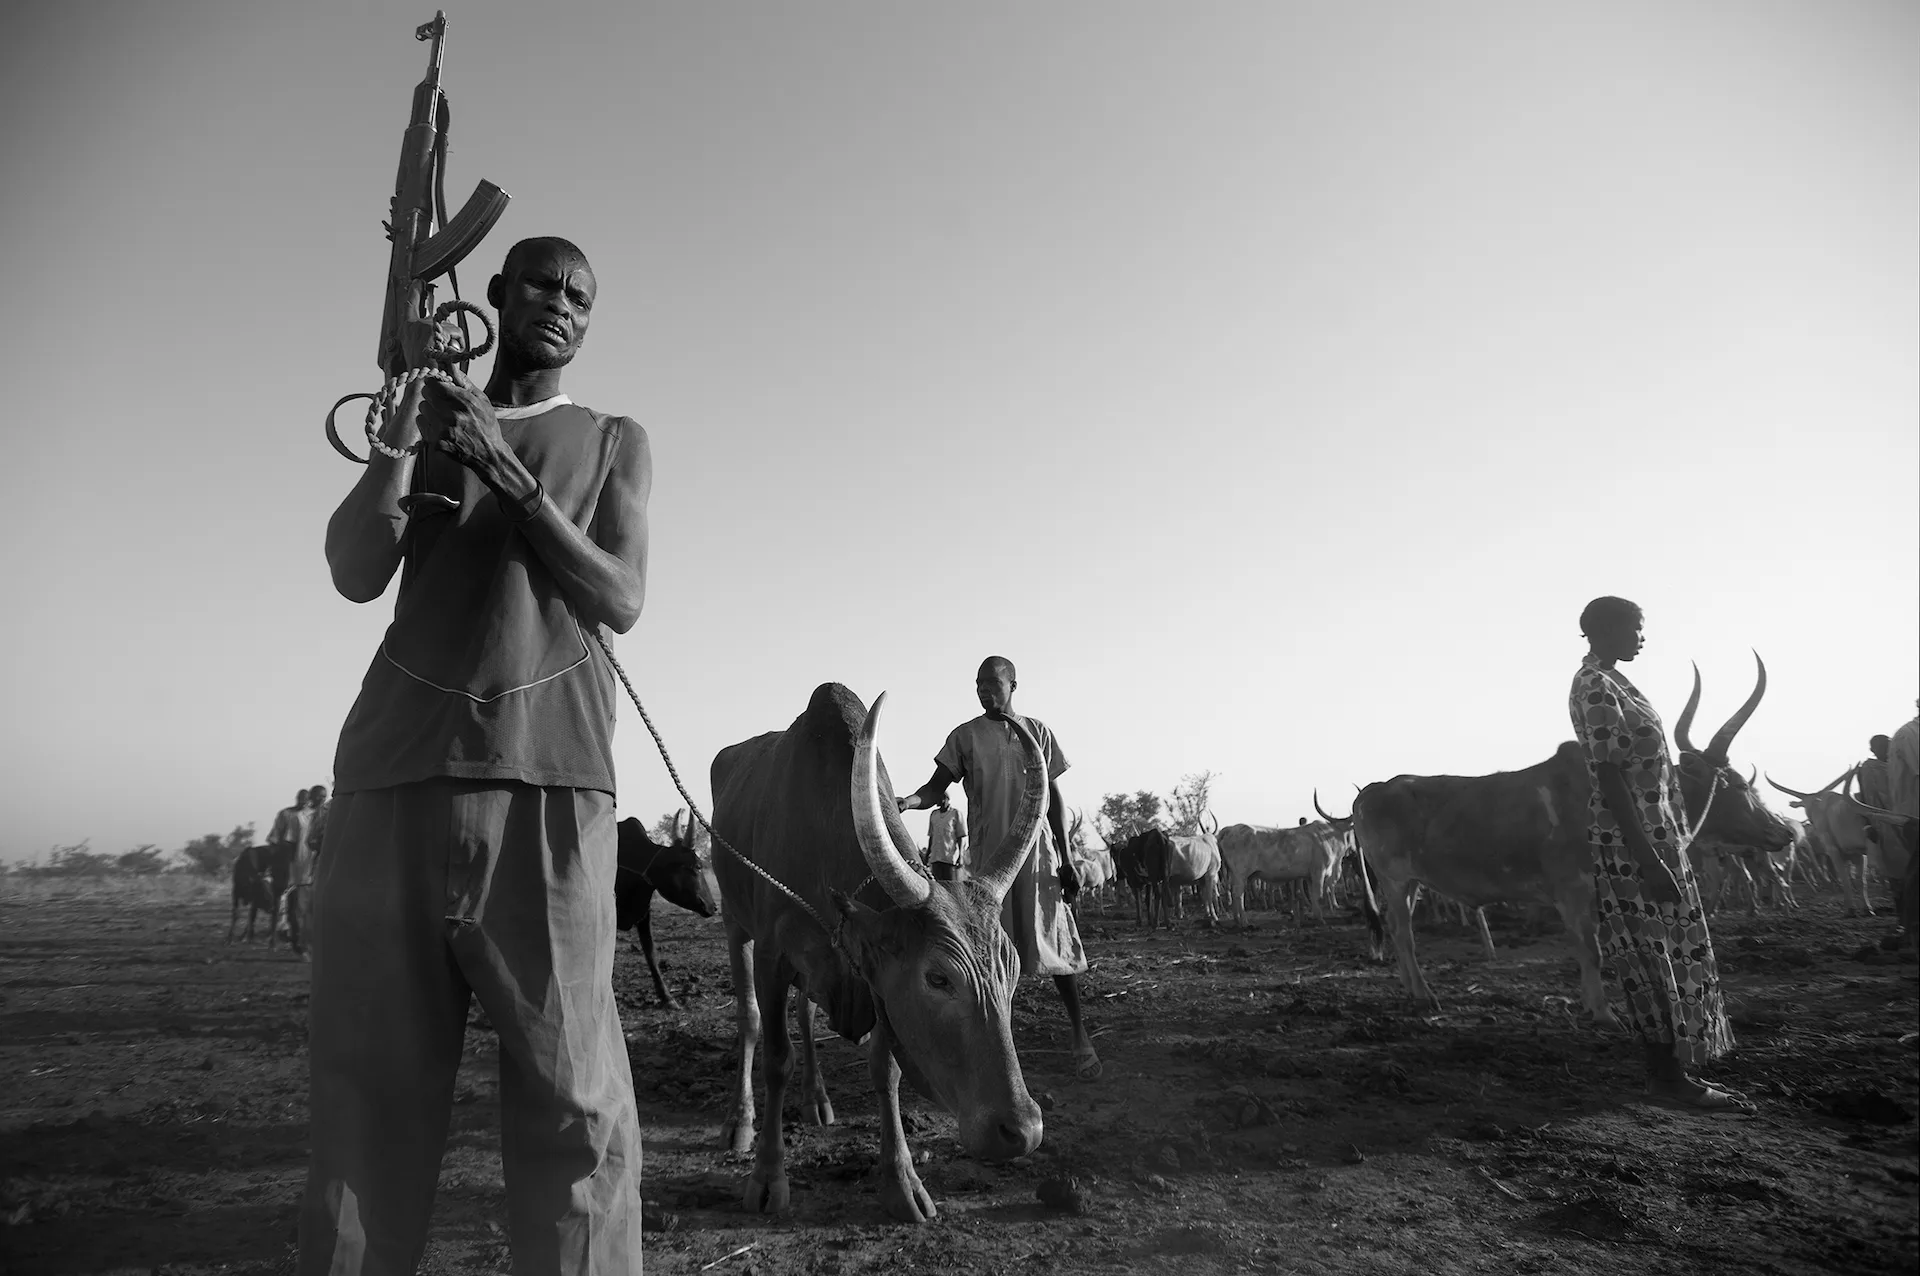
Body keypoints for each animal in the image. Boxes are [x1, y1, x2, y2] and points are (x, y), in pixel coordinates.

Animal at [718, 686, 1052, 1228]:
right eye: (937, 978)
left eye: (1014, 970)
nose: (1022, 1130)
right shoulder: (771, 955)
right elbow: (775, 1057)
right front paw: (768, 1177)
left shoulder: (870, 975)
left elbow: (886, 1070)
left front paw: (901, 1181)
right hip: (734, 925)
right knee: (748, 1021)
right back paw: (740, 1122)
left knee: (805, 1015)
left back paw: (817, 1100)